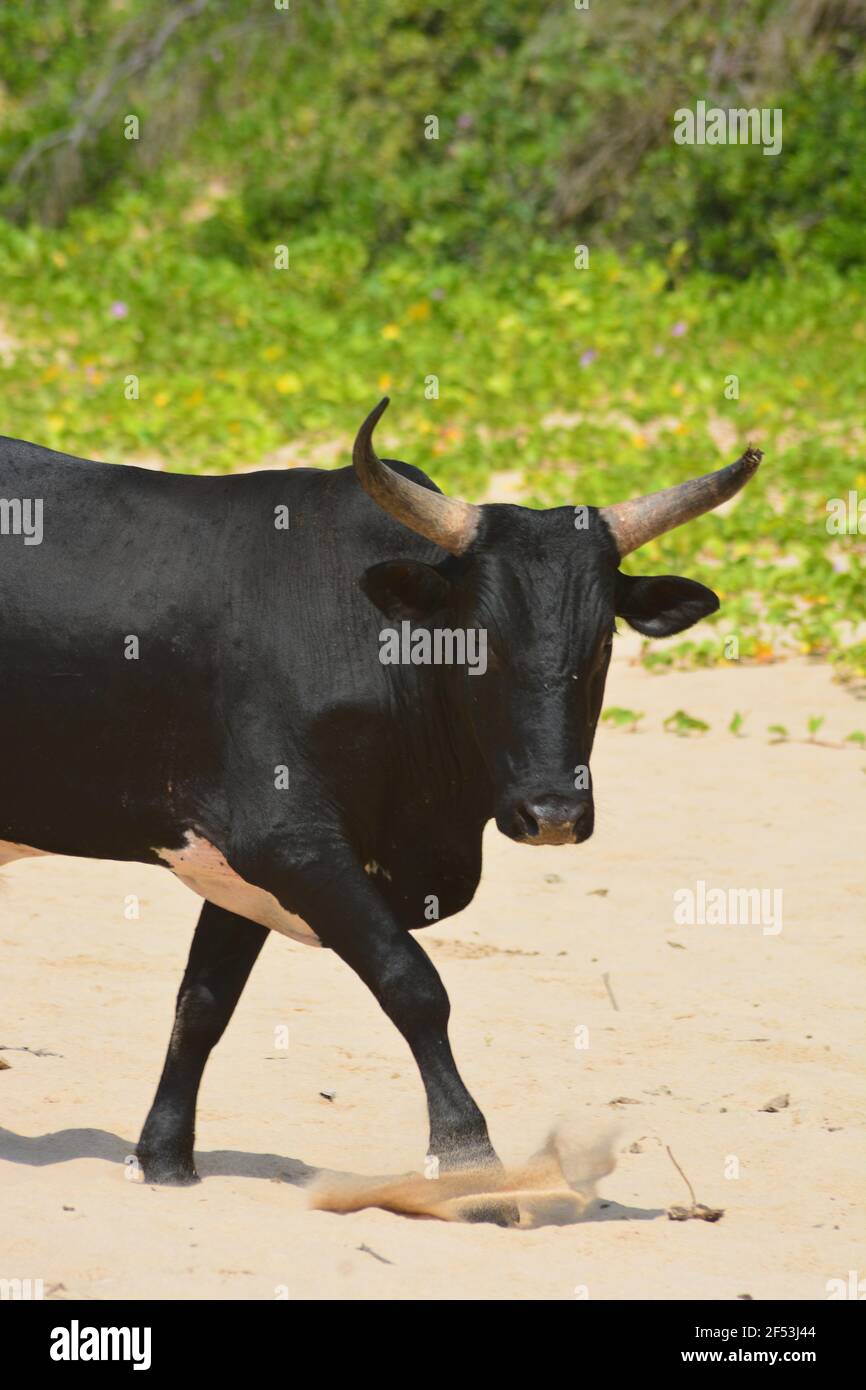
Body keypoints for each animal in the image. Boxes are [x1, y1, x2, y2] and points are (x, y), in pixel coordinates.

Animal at [0, 398, 761, 1187]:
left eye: (604, 643)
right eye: (475, 642)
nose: (553, 812)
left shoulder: (238, 865)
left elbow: (203, 1006)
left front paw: (165, 1157)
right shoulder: (291, 843)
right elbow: (414, 985)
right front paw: (466, 1150)